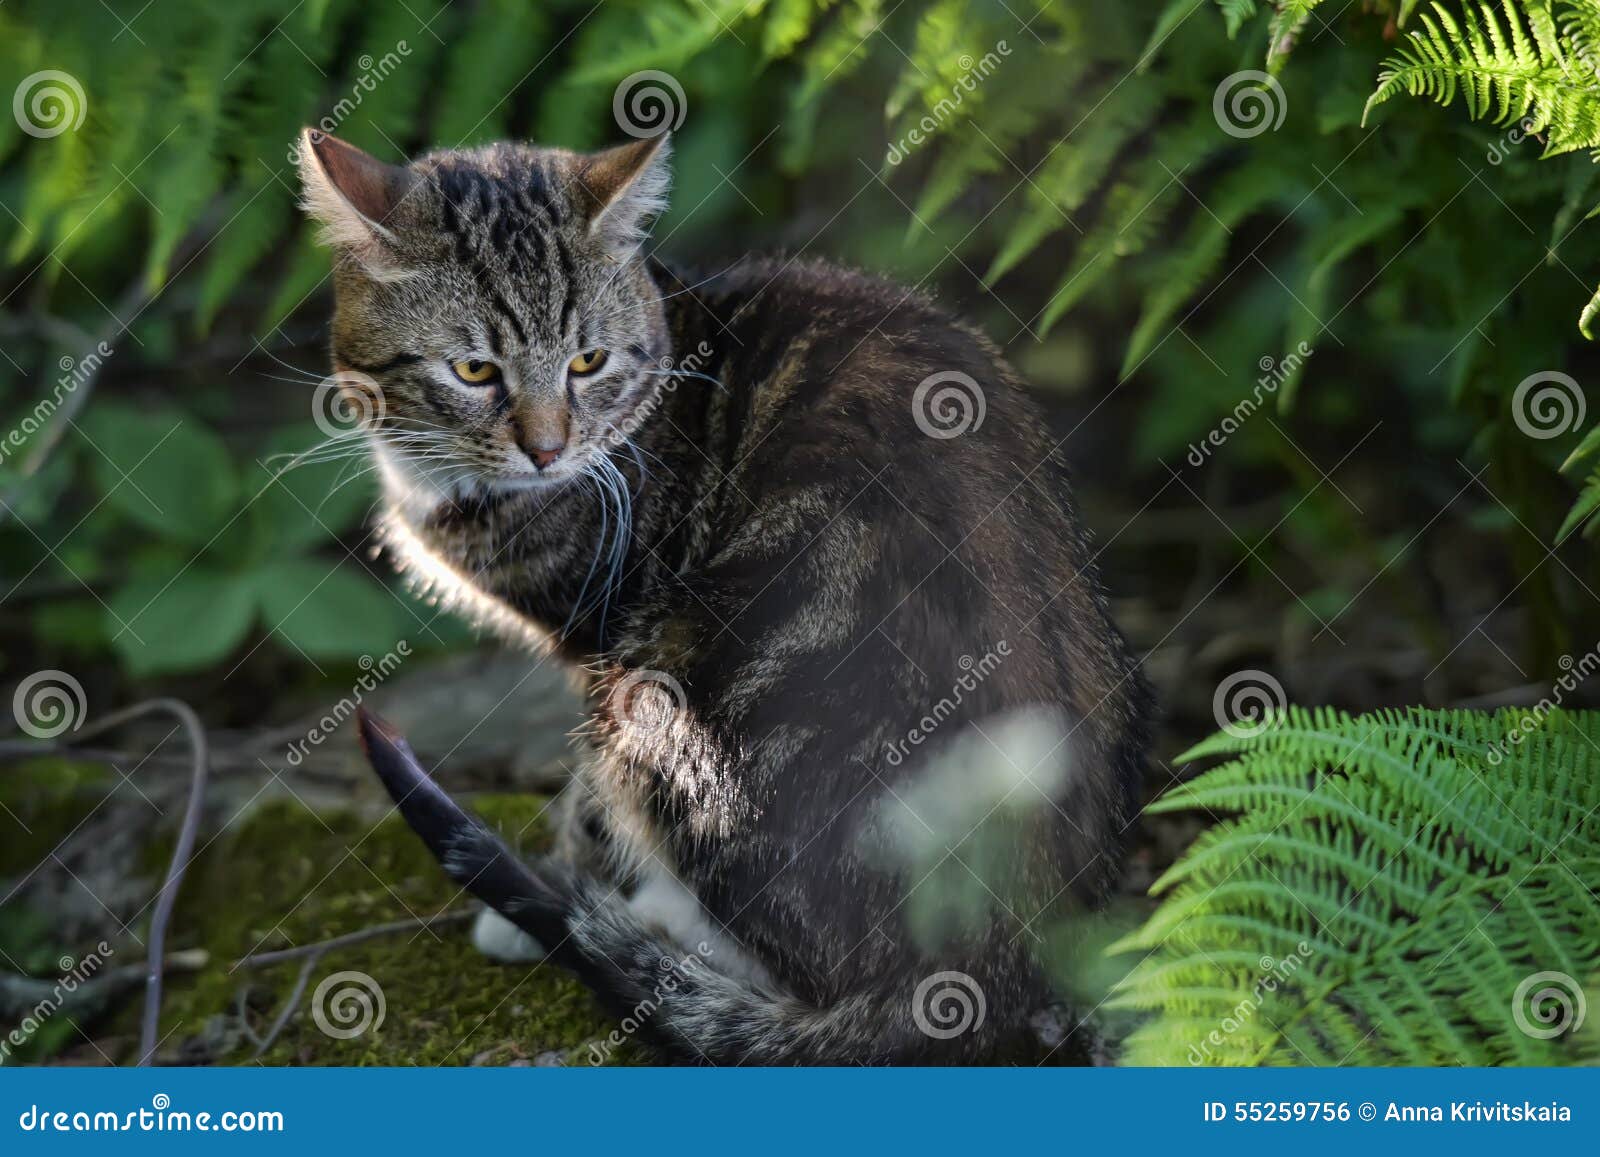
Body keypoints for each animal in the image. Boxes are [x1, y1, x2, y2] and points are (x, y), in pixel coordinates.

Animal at [297, 122, 1152, 1062]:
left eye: (587, 361)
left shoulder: (604, 631)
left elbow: (589, 797)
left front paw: (559, 889)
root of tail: (1002, 961)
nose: (548, 449)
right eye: (475, 370)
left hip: (675, 673)